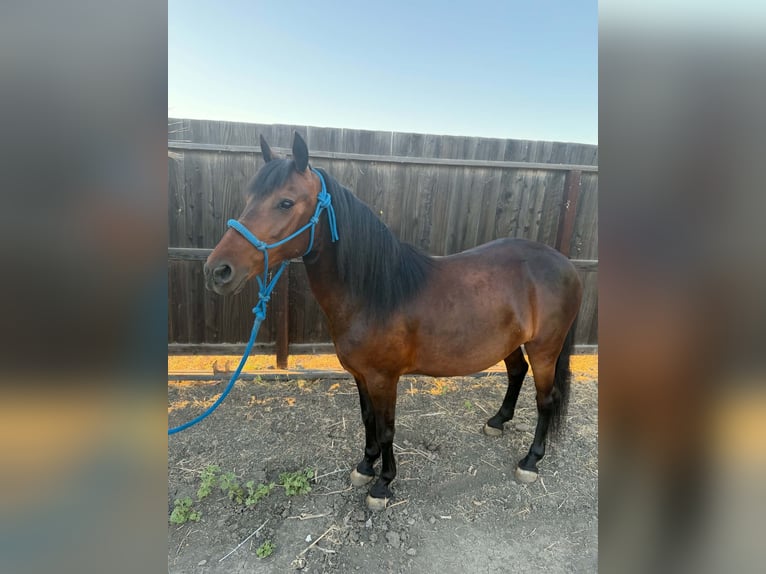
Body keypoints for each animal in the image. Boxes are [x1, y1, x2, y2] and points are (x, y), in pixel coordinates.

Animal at [204, 132, 583, 510]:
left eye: (285, 202)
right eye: (249, 199)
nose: (218, 271)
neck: (374, 294)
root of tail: (564, 263)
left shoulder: (384, 378)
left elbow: (386, 428)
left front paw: (383, 483)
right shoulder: (360, 375)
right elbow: (368, 419)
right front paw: (364, 466)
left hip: (545, 349)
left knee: (546, 399)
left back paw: (530, 460)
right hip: (510, 342)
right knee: (517, 372)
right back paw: (497, 421)